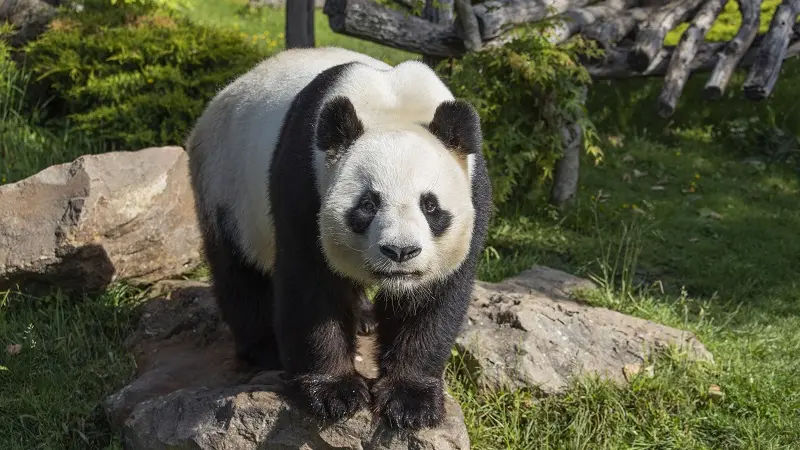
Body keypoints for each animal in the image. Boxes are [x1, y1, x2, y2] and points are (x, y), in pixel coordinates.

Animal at [185, 46, 492, 430]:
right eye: (367, 205)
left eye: (430, 205)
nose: (400, 251)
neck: (392, 108)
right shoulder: (305, 180)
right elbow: (310, 285)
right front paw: (335, 393)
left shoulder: (472, 187)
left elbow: (432, 299)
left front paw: (411, 401)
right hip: (225, 185)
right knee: (239, 272)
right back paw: (265, 348)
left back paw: (362, 319)